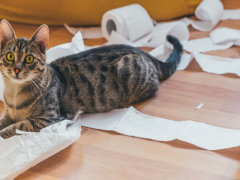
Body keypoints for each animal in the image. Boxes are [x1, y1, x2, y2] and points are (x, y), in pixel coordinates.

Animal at [0, 19, 182, 139]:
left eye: (29, 59)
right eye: (10, 56)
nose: (17, 70)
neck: (14, 94)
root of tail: (143, 52)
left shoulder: (50, 118)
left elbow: (19, 125)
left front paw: (4, 133)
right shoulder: (8, 113)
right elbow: (4, 121)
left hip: (127, 71)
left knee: (155, 86)